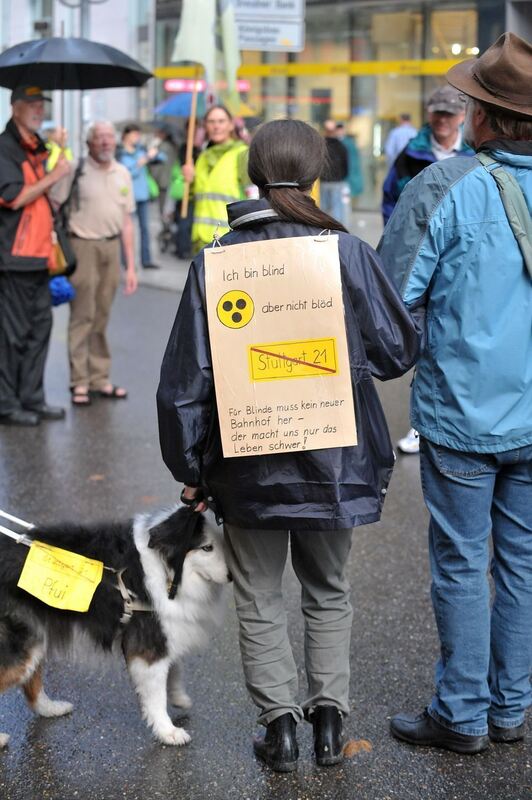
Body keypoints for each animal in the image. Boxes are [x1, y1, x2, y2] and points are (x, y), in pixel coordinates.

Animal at [0, 506, 230, 752]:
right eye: (207, 547)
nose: (231, 576)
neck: (164, 569)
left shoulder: (163, 634)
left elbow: (174, 670)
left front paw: (178, 697)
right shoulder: (148, 646)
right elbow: (156, 695)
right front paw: (168, 732)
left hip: (35, 636)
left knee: (31, 682)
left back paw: (51, 708)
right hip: (20, 646)